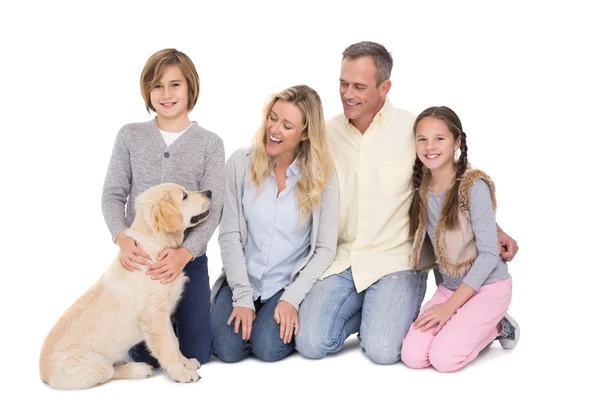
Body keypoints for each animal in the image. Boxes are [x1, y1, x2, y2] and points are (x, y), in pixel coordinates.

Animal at [39, 183, 211, 390]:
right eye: (184, 196)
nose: (209, 192)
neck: (156, 245)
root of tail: (42, 373)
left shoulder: (163, 314)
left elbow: (174, 341)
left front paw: (185, 362)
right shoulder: (154, 316)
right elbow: (168, 346)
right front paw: (181, 373)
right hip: (94, 366)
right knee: (110, 372)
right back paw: (139, 369)